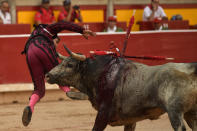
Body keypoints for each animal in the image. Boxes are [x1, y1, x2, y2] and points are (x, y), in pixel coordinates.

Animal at [45, 46, 197, 130]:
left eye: (70, 65)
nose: (47, 75)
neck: (101, 73)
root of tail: (192, 68)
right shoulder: (130, 120)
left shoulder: (103, 114)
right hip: (191, 114)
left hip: (175, 113)